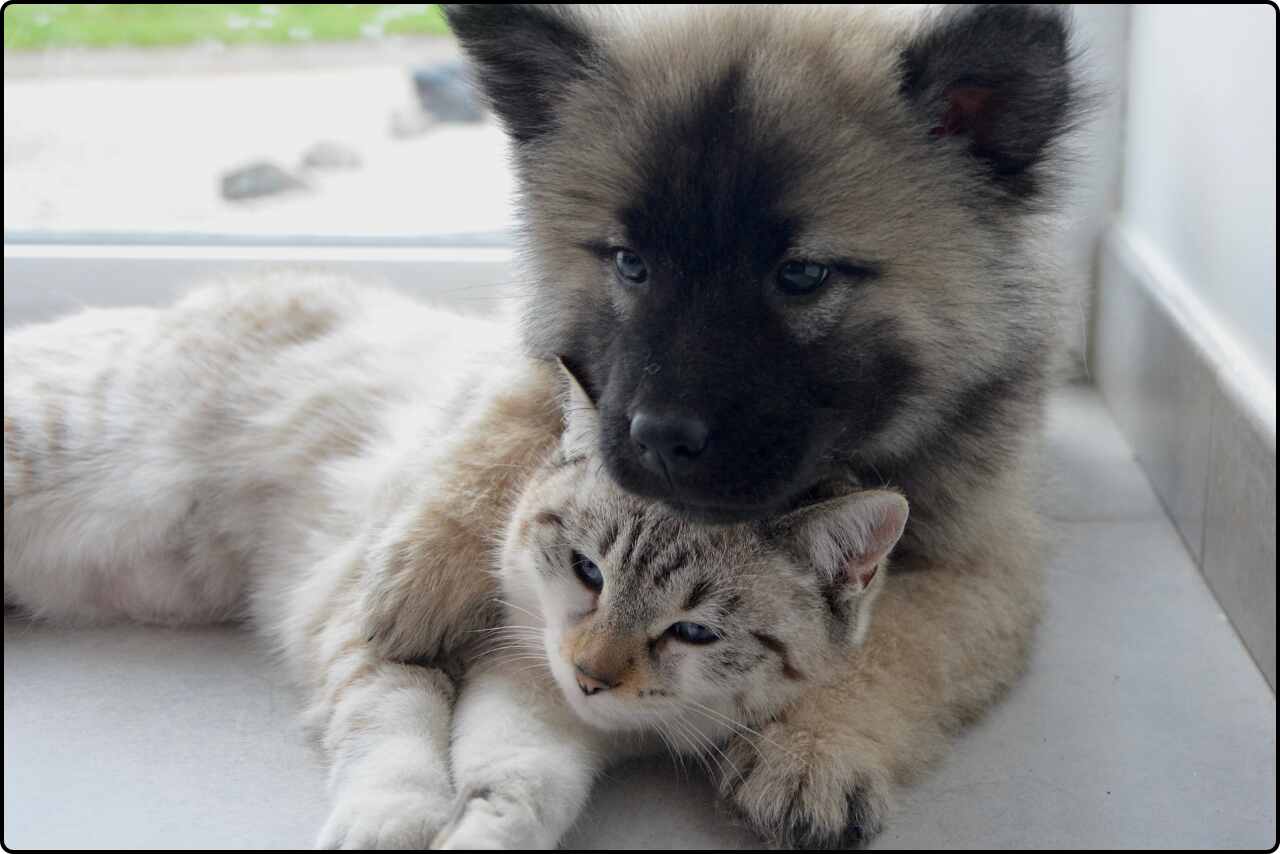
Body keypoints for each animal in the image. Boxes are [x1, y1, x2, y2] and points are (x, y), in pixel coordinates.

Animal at [2, 279, 901, 850]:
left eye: (694, 632)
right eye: (588, 572)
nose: (591, 675)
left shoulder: (546, 714)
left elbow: (517, 790)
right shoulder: (376, 625)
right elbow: (397, 725)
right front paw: (388, 829)